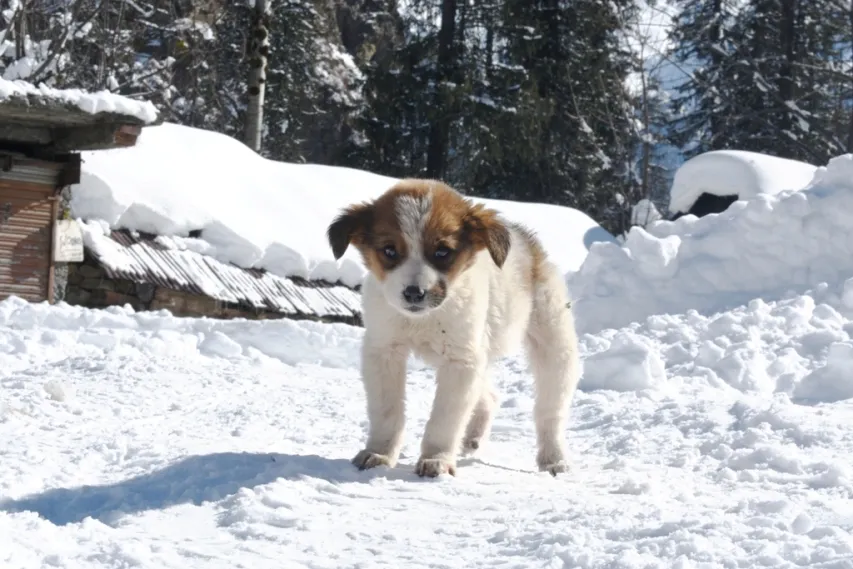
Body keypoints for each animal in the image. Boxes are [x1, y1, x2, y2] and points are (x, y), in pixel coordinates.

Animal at [326, 180, 580, 478]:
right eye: (389, 250)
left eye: (442, 252)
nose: (414, 293)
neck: (425, 319)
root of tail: (530, 244)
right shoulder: (384, 351)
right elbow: (387, 410)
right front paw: (379, 453)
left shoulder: (460, 360)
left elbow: (445, 417)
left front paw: (436, 459)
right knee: (489, 396)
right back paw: (473, 437)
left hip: (553, 346)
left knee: (550, 412)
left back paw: (554, 458)